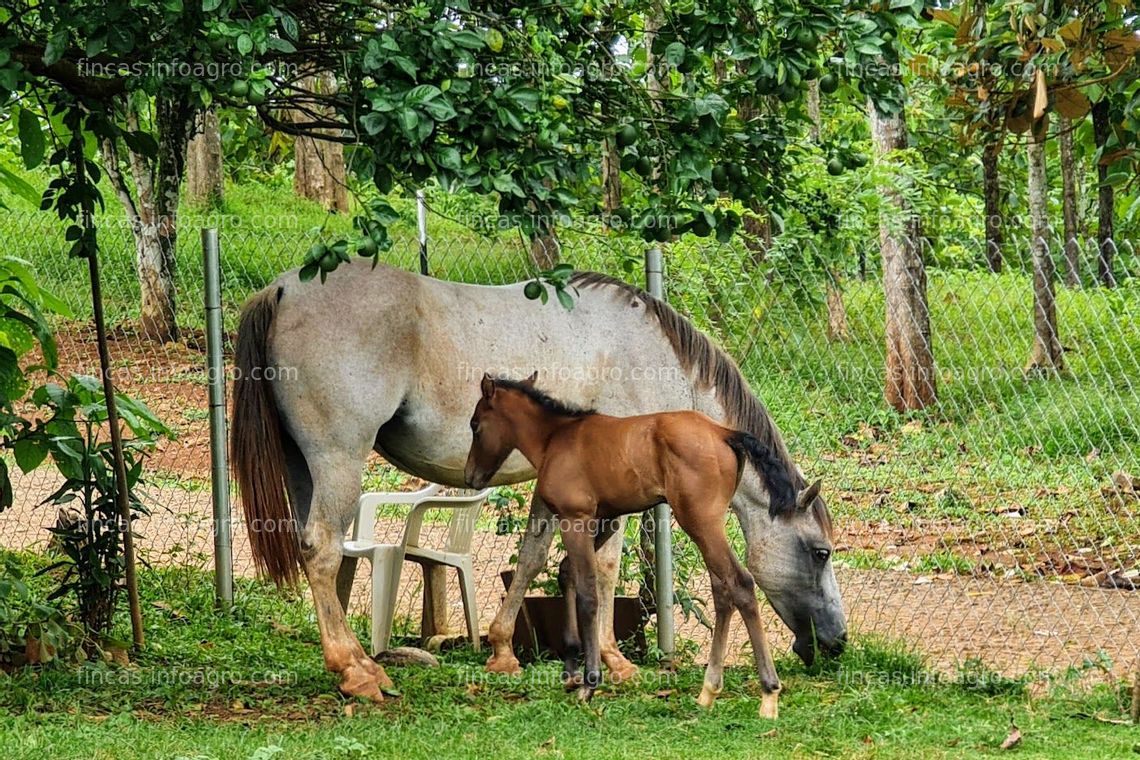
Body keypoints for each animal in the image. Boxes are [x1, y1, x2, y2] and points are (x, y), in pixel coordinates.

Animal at [462, 373, 820, 720]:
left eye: (475, 424)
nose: (471, 477)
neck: (556, 438)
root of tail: (724, 432)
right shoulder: (604, 518)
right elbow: (567, 574)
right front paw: (572, 668)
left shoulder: (575, 518)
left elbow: (588, 592)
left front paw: (589, 683)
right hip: (706, 526)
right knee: (723, 590)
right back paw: (708, 692)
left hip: (700, 521)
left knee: (740, 583)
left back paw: (768, 693)